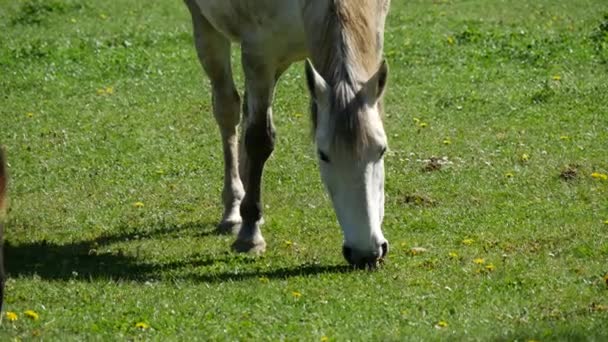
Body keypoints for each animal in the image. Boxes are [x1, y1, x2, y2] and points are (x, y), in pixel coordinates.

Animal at [185, 0, 392, 268]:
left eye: (382, 150)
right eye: (323, 155)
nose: (365, 253)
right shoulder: (259, 53)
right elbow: (259, 140)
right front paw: (250, 236)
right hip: (208, 28)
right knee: (228, 110)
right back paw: (234, 211)